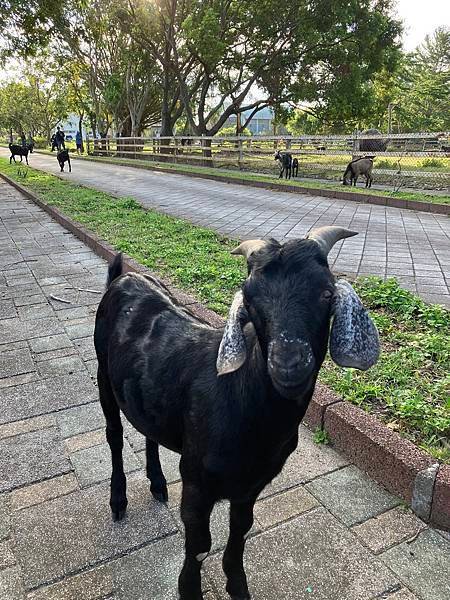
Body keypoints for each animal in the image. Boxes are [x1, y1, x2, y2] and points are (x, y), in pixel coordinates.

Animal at [95, 226, 380, 600]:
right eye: (250, 298)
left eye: (326, 292)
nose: (289, 363)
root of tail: (122, 277)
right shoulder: (196, 480)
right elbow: (199, 545)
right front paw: (189, 590)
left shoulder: (252, 485)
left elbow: (241, 531)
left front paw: (237, 585)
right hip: (103, 374)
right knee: (114, 435)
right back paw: (118, 499)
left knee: (148, 431)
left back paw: (157, 483)